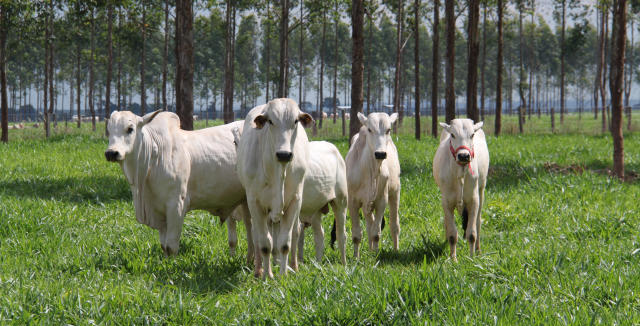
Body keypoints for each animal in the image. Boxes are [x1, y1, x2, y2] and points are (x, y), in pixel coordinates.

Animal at [105, 110, 252, 262]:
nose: (111, 153)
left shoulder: (176, 206)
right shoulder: (159, 211)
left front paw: (173, 264)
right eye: (108, 130)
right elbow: (164, 246)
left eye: (130, 129)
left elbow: (171, 246)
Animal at [236, 98, 314, 278]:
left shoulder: (294, 201)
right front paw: (267, 276)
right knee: (258, 236)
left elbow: (284, 243)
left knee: (293, 232)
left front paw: (283, 275)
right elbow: (265, 243)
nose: (284, 154)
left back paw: (290, 265)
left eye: (295, 121)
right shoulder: (255, 203)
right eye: (270, 121)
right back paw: (259, 269)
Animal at [344, 112, 400, 258]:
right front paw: (356, 257)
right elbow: (357, 234)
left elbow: (376, 233)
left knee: (394, 225)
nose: (380, 153)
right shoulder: (352, 202)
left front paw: (375, 255)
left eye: (388, 130)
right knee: (369, 224)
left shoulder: (382, 201)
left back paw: (395, 250)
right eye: (370, 129)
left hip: (395, 192)